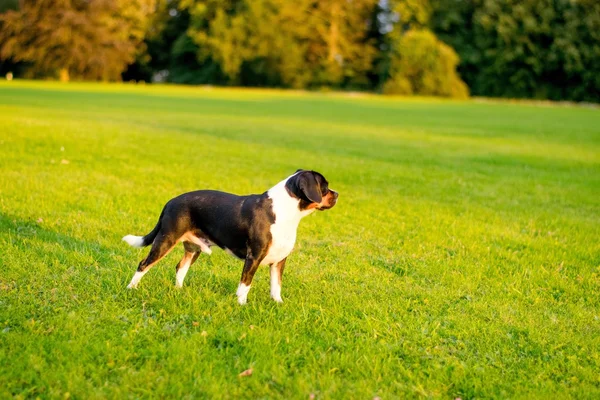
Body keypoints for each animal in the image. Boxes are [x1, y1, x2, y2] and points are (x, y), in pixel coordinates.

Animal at [122, 169, 338, 304]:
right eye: (324, 187)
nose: (336, 194)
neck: (286, 213)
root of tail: (170, 202)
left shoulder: (279, 261)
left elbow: (276, 286)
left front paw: (278, 304)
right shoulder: (254, 257)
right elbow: (245, 284)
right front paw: (241, 304)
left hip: (193, 248)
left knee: (180, 267)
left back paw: (179, 290)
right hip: (166, 240)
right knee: (144, 264)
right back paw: (131, 288)